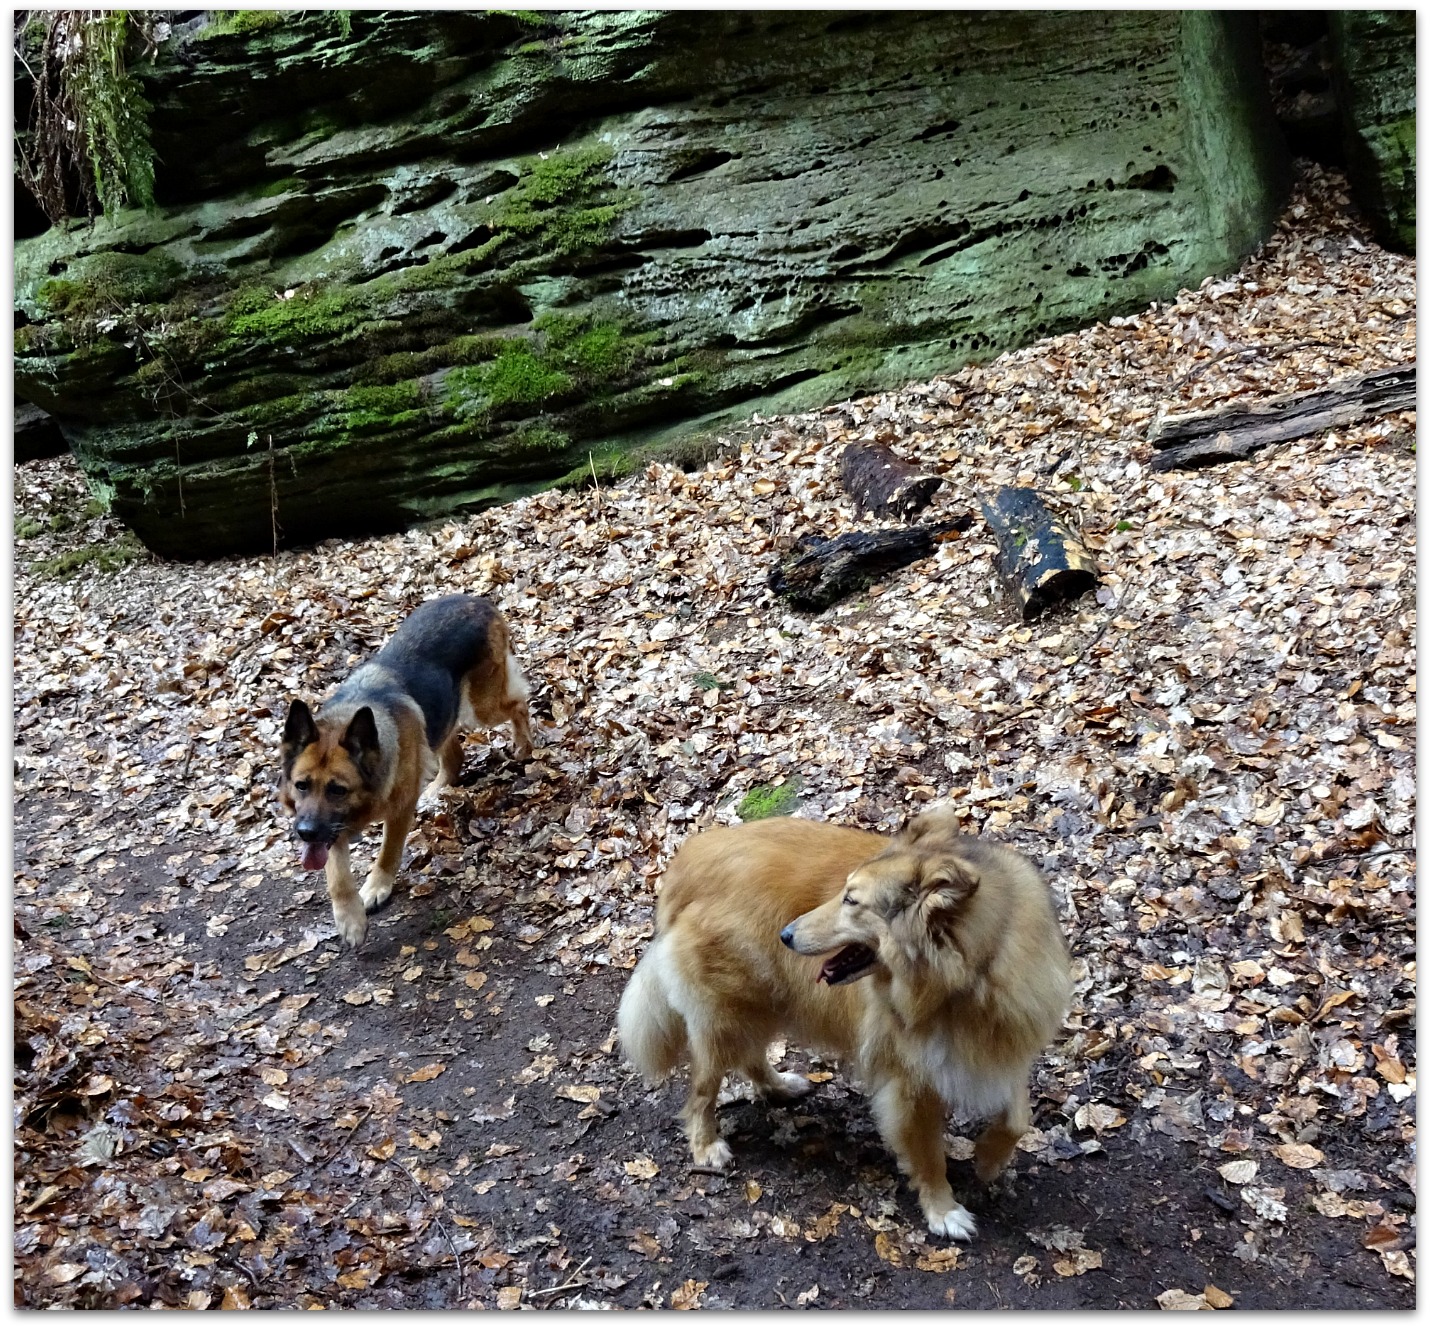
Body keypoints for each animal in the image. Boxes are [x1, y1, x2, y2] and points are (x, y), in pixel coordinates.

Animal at [277, 594, 532, 947]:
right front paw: (350, 919)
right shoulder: (330, 829)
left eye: (337, 790)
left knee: (519, 704)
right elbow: (337, 877)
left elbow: (388, 852)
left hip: (483, 706)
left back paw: (524, 746)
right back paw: (438, 788)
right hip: (443, 717)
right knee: (454, 754)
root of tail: (476, 601)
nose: (304, 832)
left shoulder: (396, 810)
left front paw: (376, 887)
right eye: (302, 785)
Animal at [617, 806, 1070, 1241]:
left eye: (851, 901)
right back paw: (706, 1144)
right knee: (702, 1090)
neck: (969, 977)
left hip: (765, 1002)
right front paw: (943, 1210)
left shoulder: (1001, 1050)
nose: (785, 935)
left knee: (748, 1056)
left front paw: (988, 1162)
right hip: (726, 1014)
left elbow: (1017, 1119)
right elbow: (928, 1153)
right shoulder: (909, 1081)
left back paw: (779, 1086)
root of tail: (689, 858)